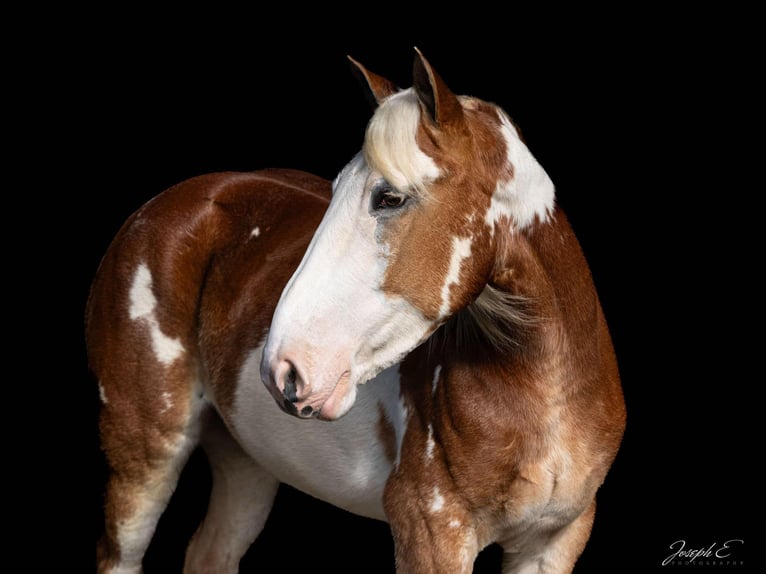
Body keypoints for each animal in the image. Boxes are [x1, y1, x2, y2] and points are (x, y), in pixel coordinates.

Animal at [90, 50, 628, 574]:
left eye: (389, 197)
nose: (283, 369)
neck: (546, 390)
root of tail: (162, 207)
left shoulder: (554, 541)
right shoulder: (432, 535)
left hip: (245, 461)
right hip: (146, 456)